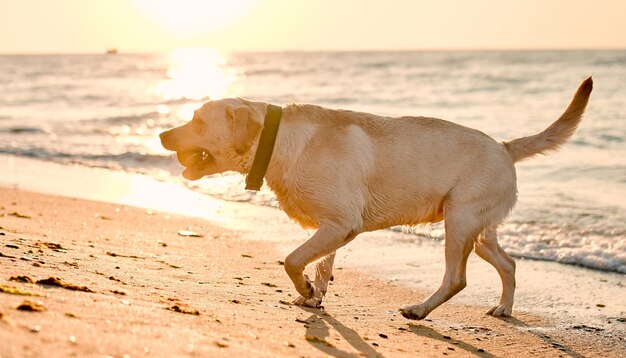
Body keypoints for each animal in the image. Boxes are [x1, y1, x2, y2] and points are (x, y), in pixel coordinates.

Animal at [157, 76, 588, 318]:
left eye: (197, 120)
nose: (161, 135)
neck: (278, 141)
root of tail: (504, 146)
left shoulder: (340, 223)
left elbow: (293, 260)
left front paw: (305, 290)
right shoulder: (332, 226)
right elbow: (321, 265)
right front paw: (314, 297)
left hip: (459, 222)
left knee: (457, 278)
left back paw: (420, 309)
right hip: (479, 231)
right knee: (509, 264)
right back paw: (504, 308)